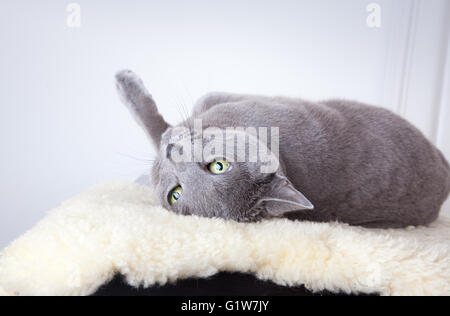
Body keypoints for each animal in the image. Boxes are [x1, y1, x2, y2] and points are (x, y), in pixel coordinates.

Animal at [115, 69, 450, 227]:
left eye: (218, 166)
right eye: (176, 193)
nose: (173, 152)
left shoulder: (217, 102)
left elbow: (156, 126)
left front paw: (124, 82)